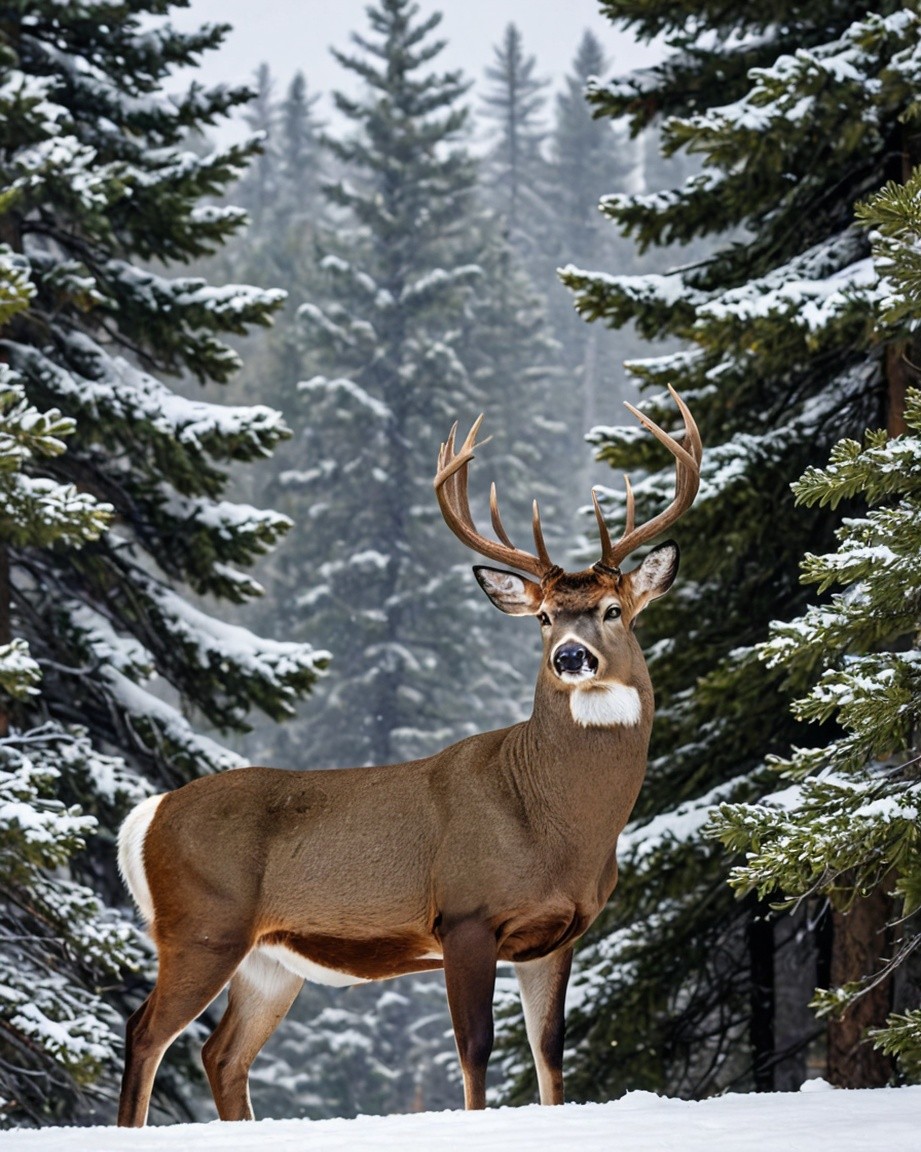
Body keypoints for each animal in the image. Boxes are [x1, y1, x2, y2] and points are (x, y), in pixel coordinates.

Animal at [116, 385, 701, 1127]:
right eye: (543, 618)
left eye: (612, 610)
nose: (571, 657)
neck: (555, 824)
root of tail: (145, 816)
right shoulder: (466, 914)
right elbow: (475, 1048)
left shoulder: (559, 933)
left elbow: (549, 1054)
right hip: (201, 925)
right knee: (145, 1031)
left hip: (267, 958)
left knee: (222, 1053)